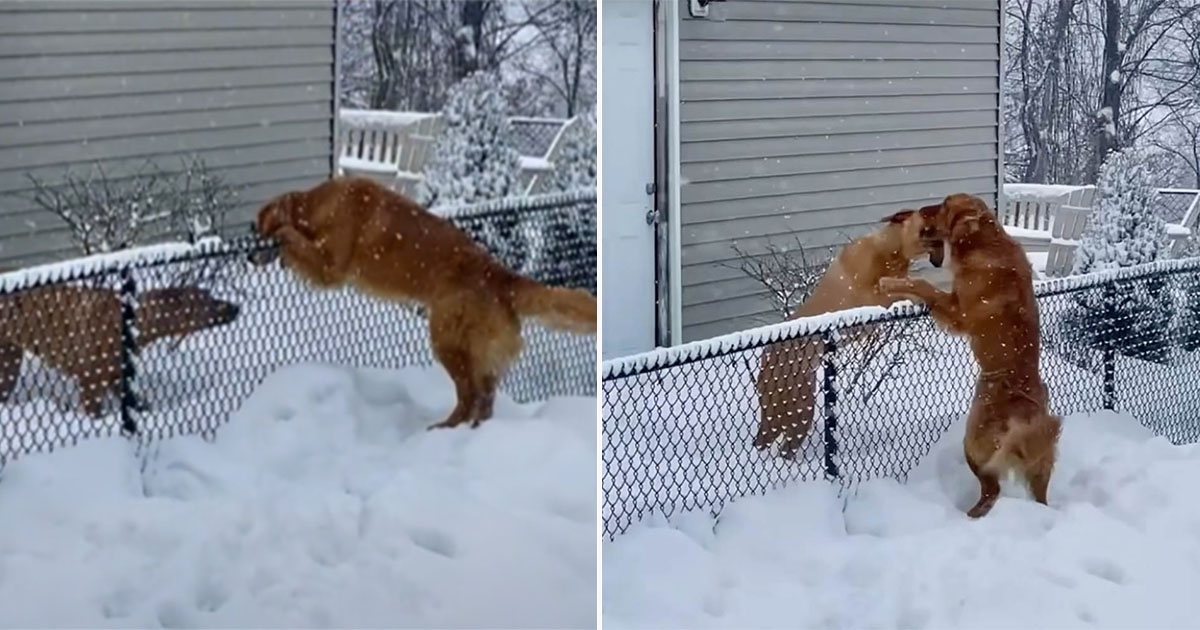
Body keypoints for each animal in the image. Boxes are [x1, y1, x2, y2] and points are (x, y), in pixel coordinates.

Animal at [0, 285, 241, 417]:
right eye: (208, 301)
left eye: (209, 295)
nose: (236, 307)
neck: (132, 323)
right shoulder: (91, 384)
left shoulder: (117, 378)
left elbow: (137, 403)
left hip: (10, 360)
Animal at [250, 174, 597, 429]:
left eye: (257, 232)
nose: (250, 257)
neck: (319, 204)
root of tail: (502, 277)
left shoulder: (331, 267)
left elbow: (296, 240)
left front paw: (284, 236)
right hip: (480, 352)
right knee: (484, 399)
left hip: (446, 338)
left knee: (468, 396)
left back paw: (446, 428)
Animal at [753, 208, 940, 458]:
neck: (891, 251)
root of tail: (766, 357)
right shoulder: (869, 294)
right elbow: (903, 288)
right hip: (798, 407)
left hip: (789, 408)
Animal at [878, 194, 1065, 518]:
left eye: (943, 206)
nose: (921, 210)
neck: (985, 241)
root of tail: (1029, 416)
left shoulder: (958, 313)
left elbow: (924, 285)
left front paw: (891, 284)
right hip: (1038, 461)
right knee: (1037, 494)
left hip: (974, 440)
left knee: (992, 489)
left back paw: (971, 515)